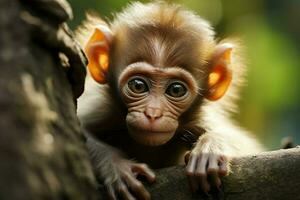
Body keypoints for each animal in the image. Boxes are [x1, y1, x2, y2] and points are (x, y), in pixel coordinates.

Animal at [76, 1, 264, 200]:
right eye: (138, 85)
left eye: (176, 89)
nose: (153, 114)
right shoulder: (101, 108)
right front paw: (115, 166)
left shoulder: (199, 118)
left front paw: (211, 149)